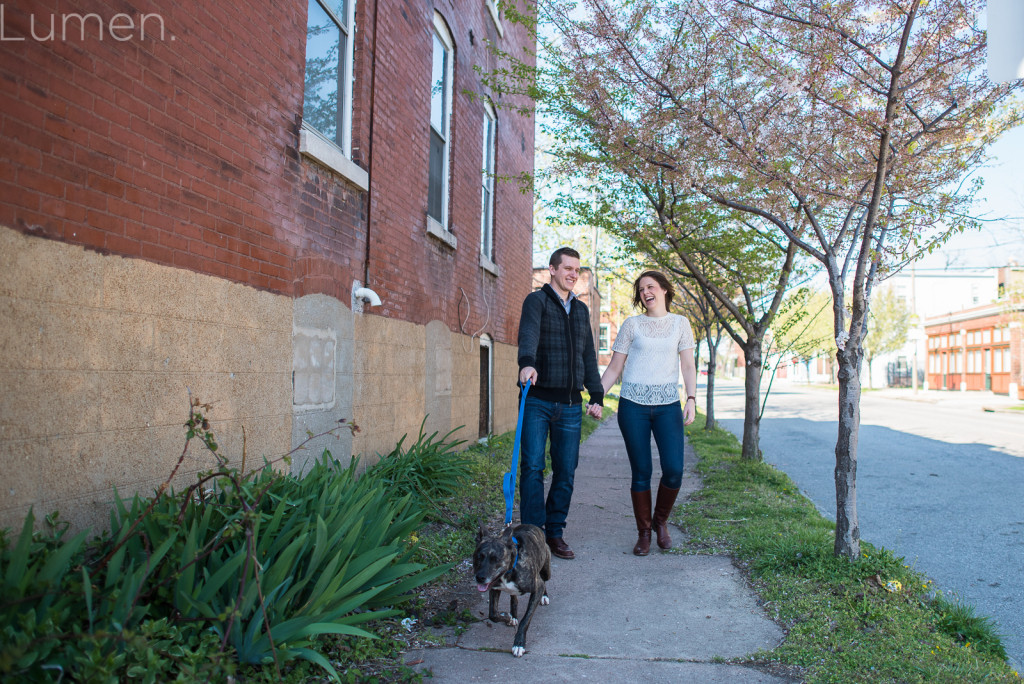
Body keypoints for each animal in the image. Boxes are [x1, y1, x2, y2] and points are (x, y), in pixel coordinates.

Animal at [473, 524, 552, 655]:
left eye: (496, 559)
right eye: (479, 557)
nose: (480, 577)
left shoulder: (537, 588)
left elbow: (525, 620)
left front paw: (519, 643)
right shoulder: (494, 588)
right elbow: (493, 614)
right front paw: (508, 618)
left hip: (546, 570)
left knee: (544, 579)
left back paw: (544, 596)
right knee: (514, 598)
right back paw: (513, 615)